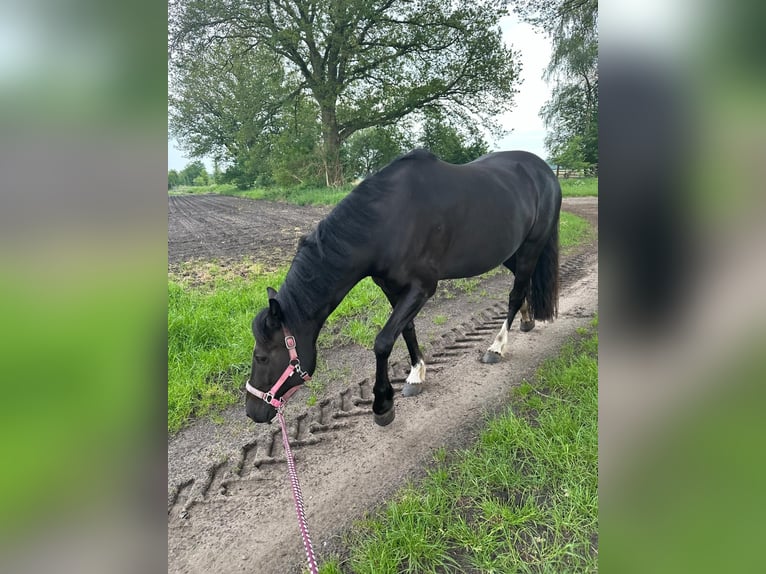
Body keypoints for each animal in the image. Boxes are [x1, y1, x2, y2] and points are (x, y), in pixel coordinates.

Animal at [248, 148, 564, 428]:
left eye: (261, 357)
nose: (253, 412)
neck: (388, 220)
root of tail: (545, 170)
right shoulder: (391, 287)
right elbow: (406, 330)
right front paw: (416, 375)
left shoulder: (422, 288)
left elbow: (383, 341)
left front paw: (383, 405)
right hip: (511, 252)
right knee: (522, 286)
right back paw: (527, 319)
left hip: (531, 247)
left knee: (514, 294)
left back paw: (497, 347)